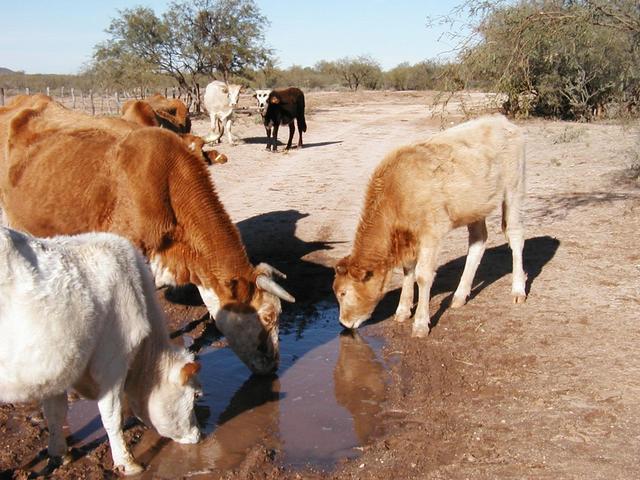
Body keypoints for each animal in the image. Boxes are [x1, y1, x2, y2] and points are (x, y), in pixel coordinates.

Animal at [0, 229, 201, 476]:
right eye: (195, 395)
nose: (198, 435)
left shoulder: (56, 371)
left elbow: (55, 413)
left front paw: (60, 454)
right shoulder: (112, 361)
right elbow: (111, 415)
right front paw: (128, 463)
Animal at [332, 115, 528, 338]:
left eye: (344, 292)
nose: (344, 323)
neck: (397, 190)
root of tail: (500, 120)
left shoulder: (431, 233)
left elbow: (423, 276)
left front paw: (420, 323)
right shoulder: (408, 238)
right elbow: (408, 270)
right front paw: (402, 310)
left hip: (514, 189)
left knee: (515, 235)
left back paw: (518, 289)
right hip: (475, 206)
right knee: (478, 242)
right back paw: (459, 295)